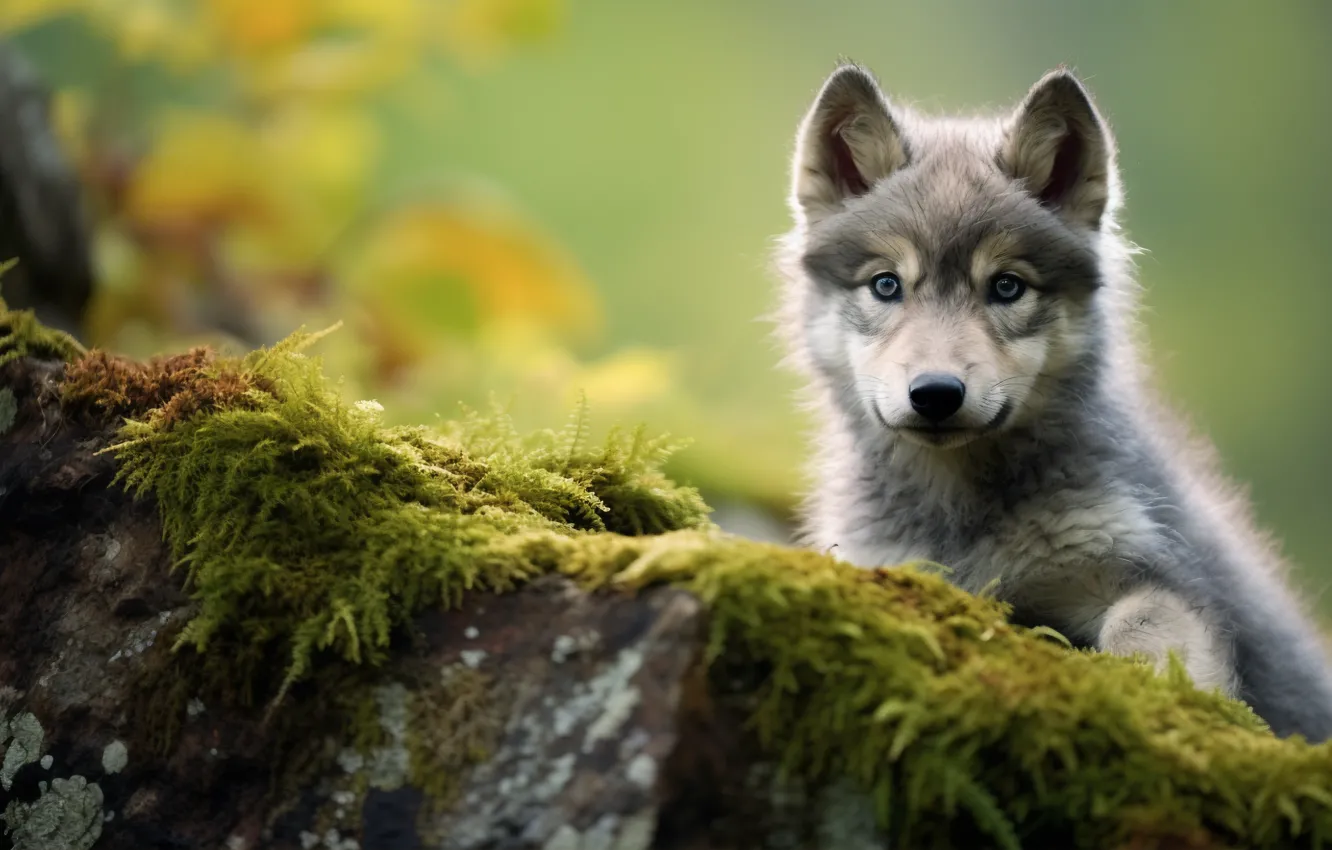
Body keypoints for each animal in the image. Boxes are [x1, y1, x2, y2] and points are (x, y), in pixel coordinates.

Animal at [774, 62, 1332, 741]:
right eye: (886, 285)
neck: (965, 513)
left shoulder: (1150, 569)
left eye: (1007, 287)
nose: (936, 394)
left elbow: (1143, 627)